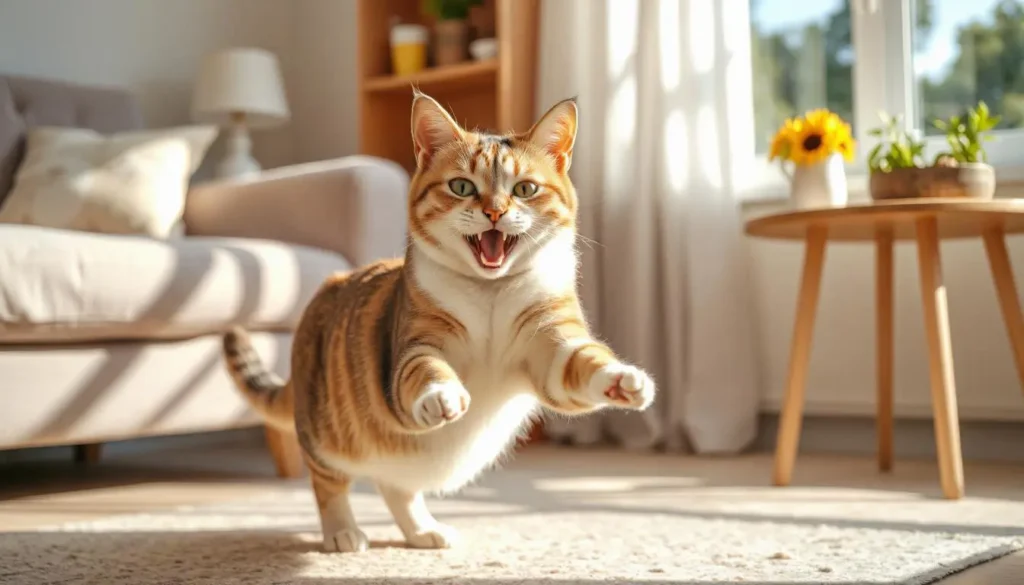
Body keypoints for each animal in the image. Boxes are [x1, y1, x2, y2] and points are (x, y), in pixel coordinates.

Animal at [223, 91, 655, 553]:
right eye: (462, 186)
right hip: (323, 435)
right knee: (328, 483)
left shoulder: (550, 347)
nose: (494, 212)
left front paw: (623, 380)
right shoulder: (415, 346)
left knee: (396, 485)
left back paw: (423, 530)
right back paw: (343, 532)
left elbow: (583, 363)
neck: (490, 293)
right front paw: (442, 395)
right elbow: (425, 372)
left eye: (525, 189)